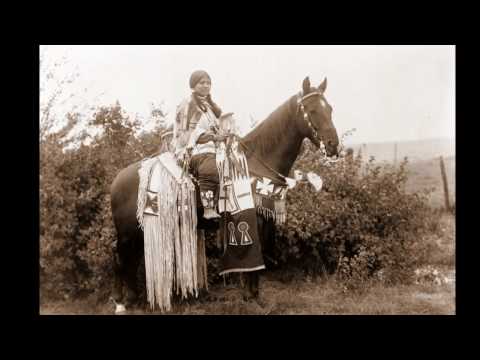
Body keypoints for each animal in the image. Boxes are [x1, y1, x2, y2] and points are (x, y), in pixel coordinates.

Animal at [110, 76, 340, 312]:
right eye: (312, 110)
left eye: (330, 109)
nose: (333, 146)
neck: (256, 162)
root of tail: (117, 179)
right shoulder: (252, 220)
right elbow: (254, 262)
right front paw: (249, 297)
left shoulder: (264, 221)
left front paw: (255, 296)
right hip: (127, 231)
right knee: (120, 259)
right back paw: (120, 302)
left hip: (139, 229)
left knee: (131, 259)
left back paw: (132, 298)